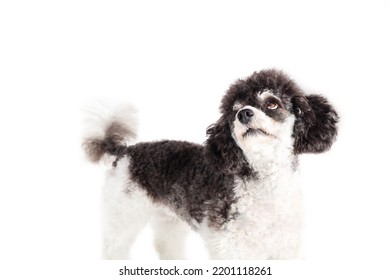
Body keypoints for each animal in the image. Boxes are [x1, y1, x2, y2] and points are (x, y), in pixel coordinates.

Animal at [81, 69, 338, 260]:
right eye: (234, 111)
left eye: (272, 103)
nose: (244, 114)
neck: (264, 180)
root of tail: (125, 151)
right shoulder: (230, 248)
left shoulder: (285, 247)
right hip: (122, 214)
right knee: (114, 248)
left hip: (167, 220)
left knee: (166, 246)